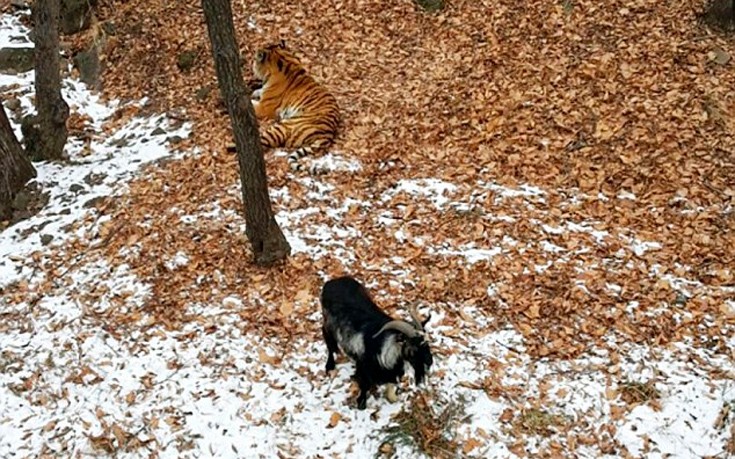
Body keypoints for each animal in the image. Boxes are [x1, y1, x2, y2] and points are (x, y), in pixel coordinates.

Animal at [227, 39, 340, 172]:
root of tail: (327, 135)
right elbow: (258, 92)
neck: (283, 59)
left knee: (261, 141)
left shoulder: (264, 108)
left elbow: (251, 103)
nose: (250, 62)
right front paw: (255, 92)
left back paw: (231, 145)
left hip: (283, 126)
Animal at [320, 276, 434, 410]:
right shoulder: (364, 368)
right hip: (327, 323)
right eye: (413, 347)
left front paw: (393, 399)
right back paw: (329, 366)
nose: (430, 361)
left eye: (427, 343)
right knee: (328, 340)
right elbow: (364, 386)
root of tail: (332, 281)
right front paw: (361, 404)